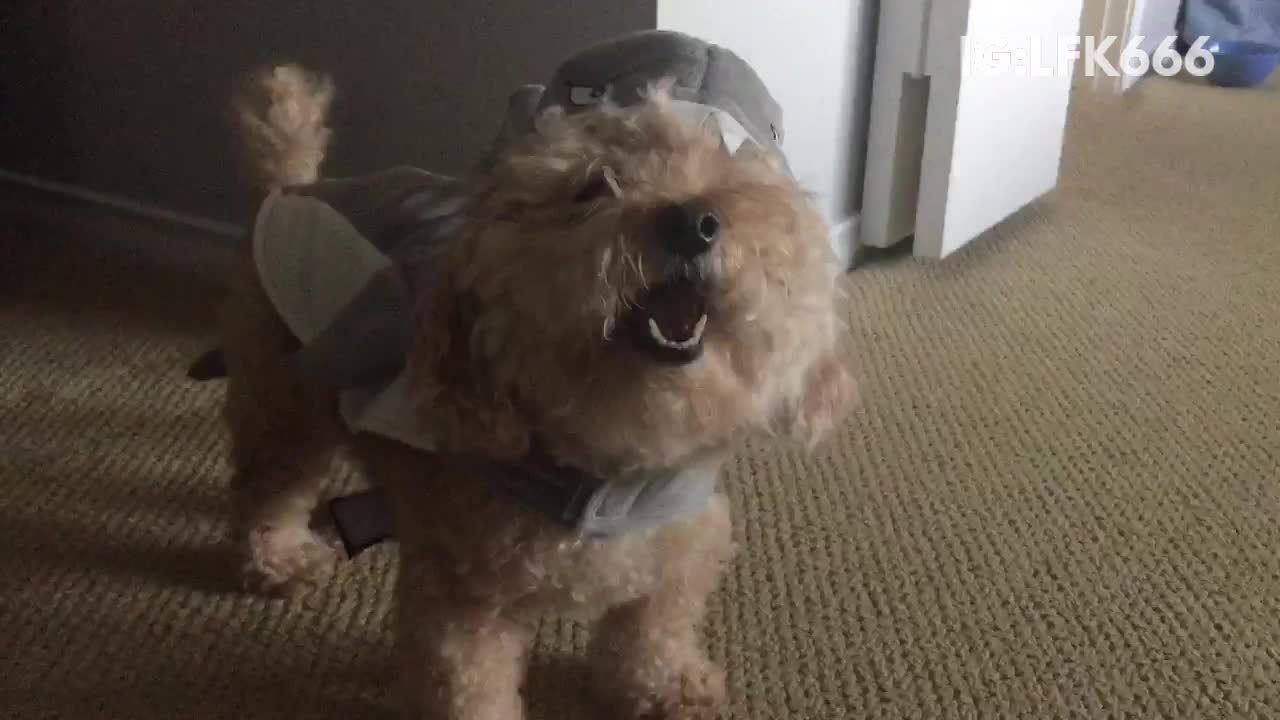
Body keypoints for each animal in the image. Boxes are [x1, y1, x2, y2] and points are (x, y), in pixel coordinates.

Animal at [212, 37, 849, 717]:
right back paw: (276, 557)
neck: (606, 470)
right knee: (265, 484)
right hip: (285, 399)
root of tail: (294, 185)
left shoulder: (677, 550)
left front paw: (665, 686)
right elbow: (470, 690)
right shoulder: (462, 601)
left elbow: (654, 630)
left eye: (729, 178)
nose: (691, 222)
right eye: (594, 184)